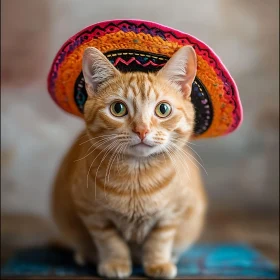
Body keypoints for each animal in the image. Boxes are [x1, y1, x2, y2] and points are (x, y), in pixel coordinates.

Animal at [51, 45, 207, 278]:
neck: (137, 177)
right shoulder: (93, 214)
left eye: (163, 109)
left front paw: (158, 264)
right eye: (118, 109)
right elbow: (111, 242)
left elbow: (159, 241)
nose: (142, 130)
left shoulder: (171, 214)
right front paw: (116, 263)